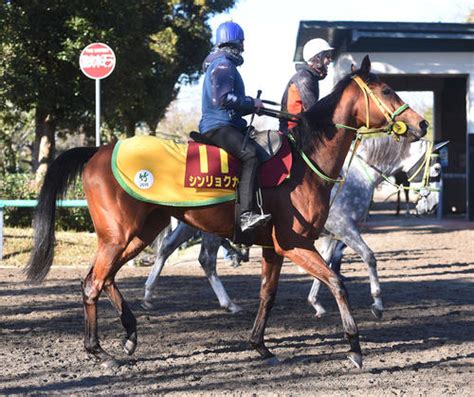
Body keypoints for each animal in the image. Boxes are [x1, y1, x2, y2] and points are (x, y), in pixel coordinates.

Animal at [25, 56, 430, 368]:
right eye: (387, 91)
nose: (422, 123)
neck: (306, 162)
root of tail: (98, 150)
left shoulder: (276, 248)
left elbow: (269, 294)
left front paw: (260, 345)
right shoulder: (296, 243)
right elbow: (337, 281)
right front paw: (355, 346)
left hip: (138, 233)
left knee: (104, 278)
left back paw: (130, 333)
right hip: (120, 235)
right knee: (94, 282)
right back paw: (100, 351)